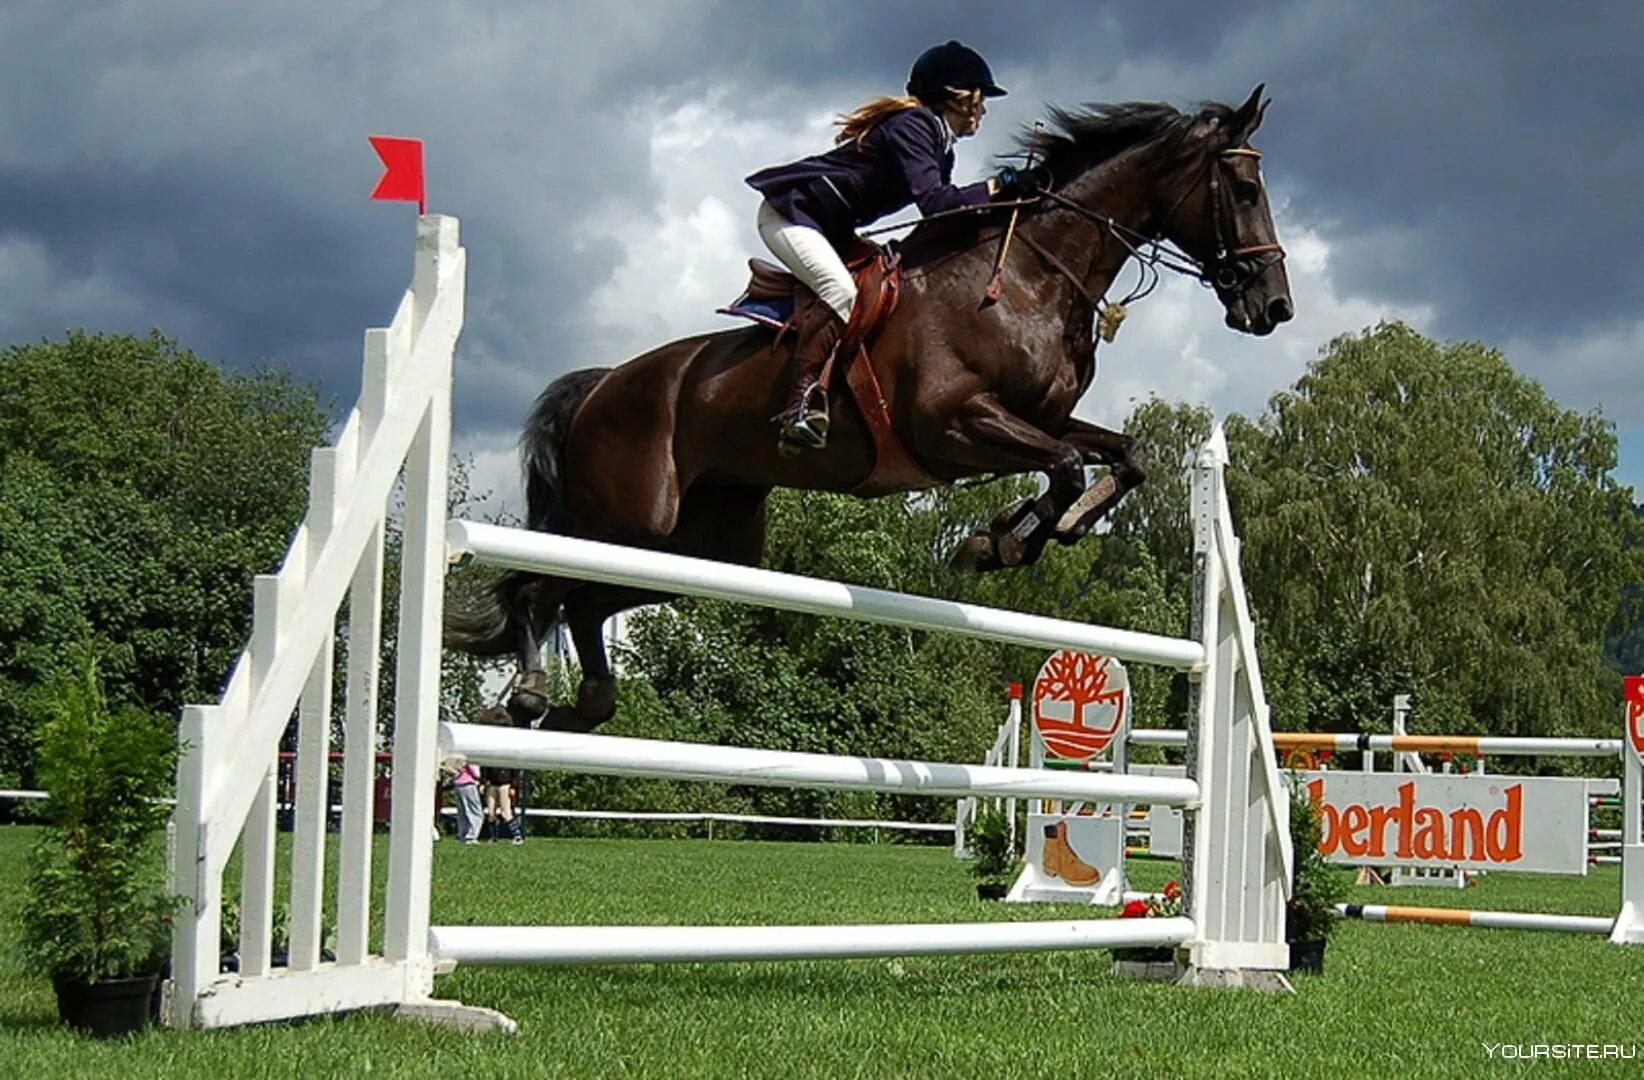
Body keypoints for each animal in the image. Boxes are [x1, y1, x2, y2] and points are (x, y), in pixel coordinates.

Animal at [450, 86, 1295, 733]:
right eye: (1245, 191)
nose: (1275, 308)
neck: (1030, 275)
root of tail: (600, 385)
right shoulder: (956, 425)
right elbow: (1061, 468)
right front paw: (1000, 541)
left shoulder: (1042, 417)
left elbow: (1122, 458)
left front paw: (1019, 535)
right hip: (628, 518)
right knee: (537, 588)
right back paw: (529, 694)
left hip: (700, 549)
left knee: (586, 601)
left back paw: (585, 703)